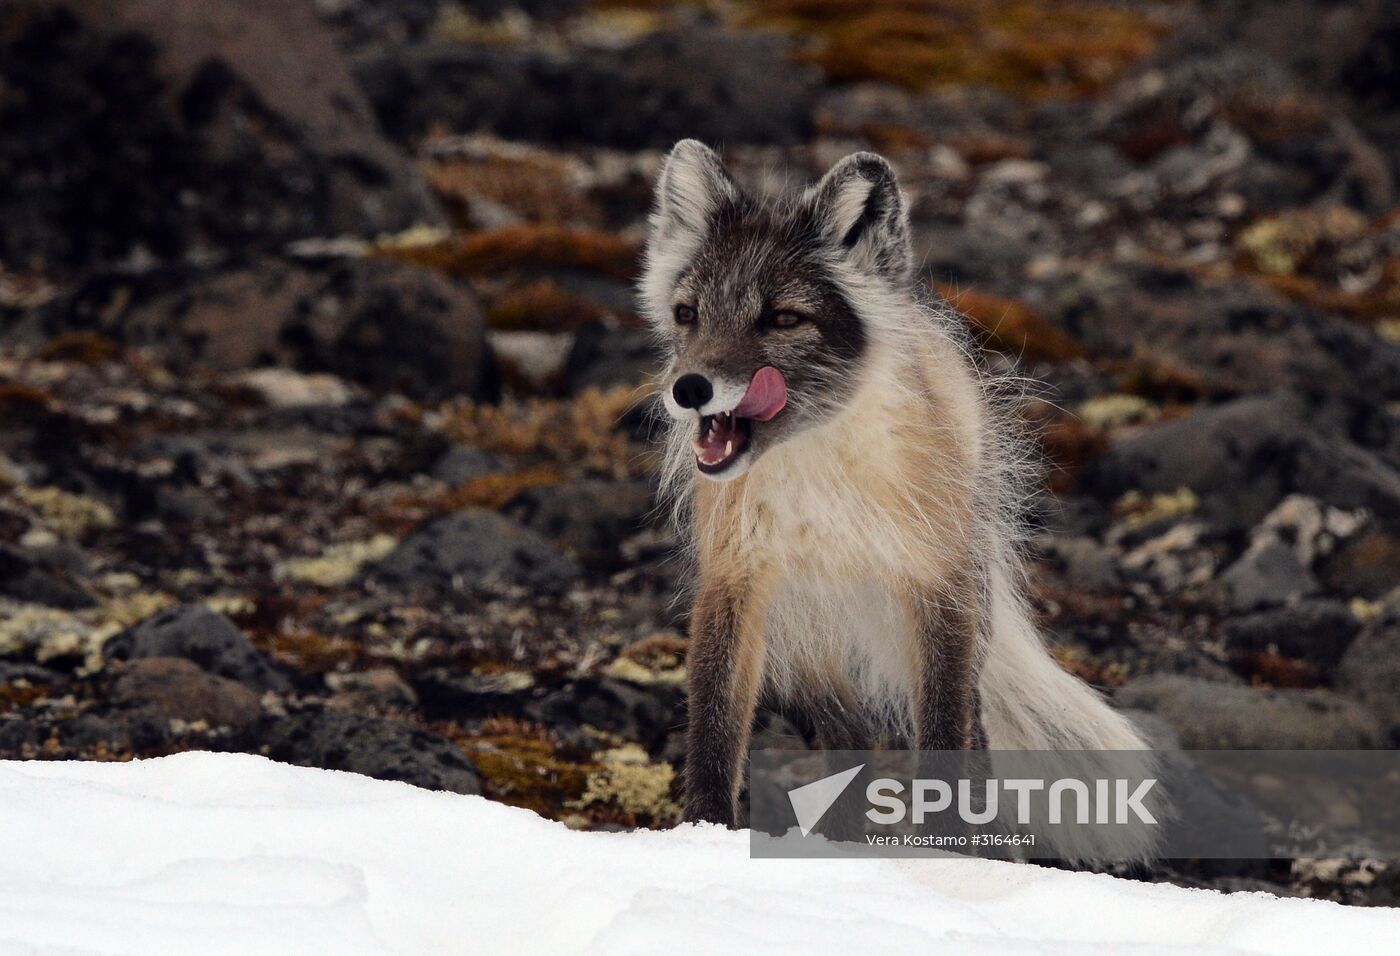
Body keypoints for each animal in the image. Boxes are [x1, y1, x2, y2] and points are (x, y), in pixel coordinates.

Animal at [641, 144, 1148, 839]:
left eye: (783, 318)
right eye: (687, 314)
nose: (688, 388)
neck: (823, 472)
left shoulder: (935, 587)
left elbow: (945, 735)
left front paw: (950, 844)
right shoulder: (735, 581)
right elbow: (714, 736)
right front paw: (704, 835)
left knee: (971, 726)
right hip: (810, 650)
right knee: (846, 742)